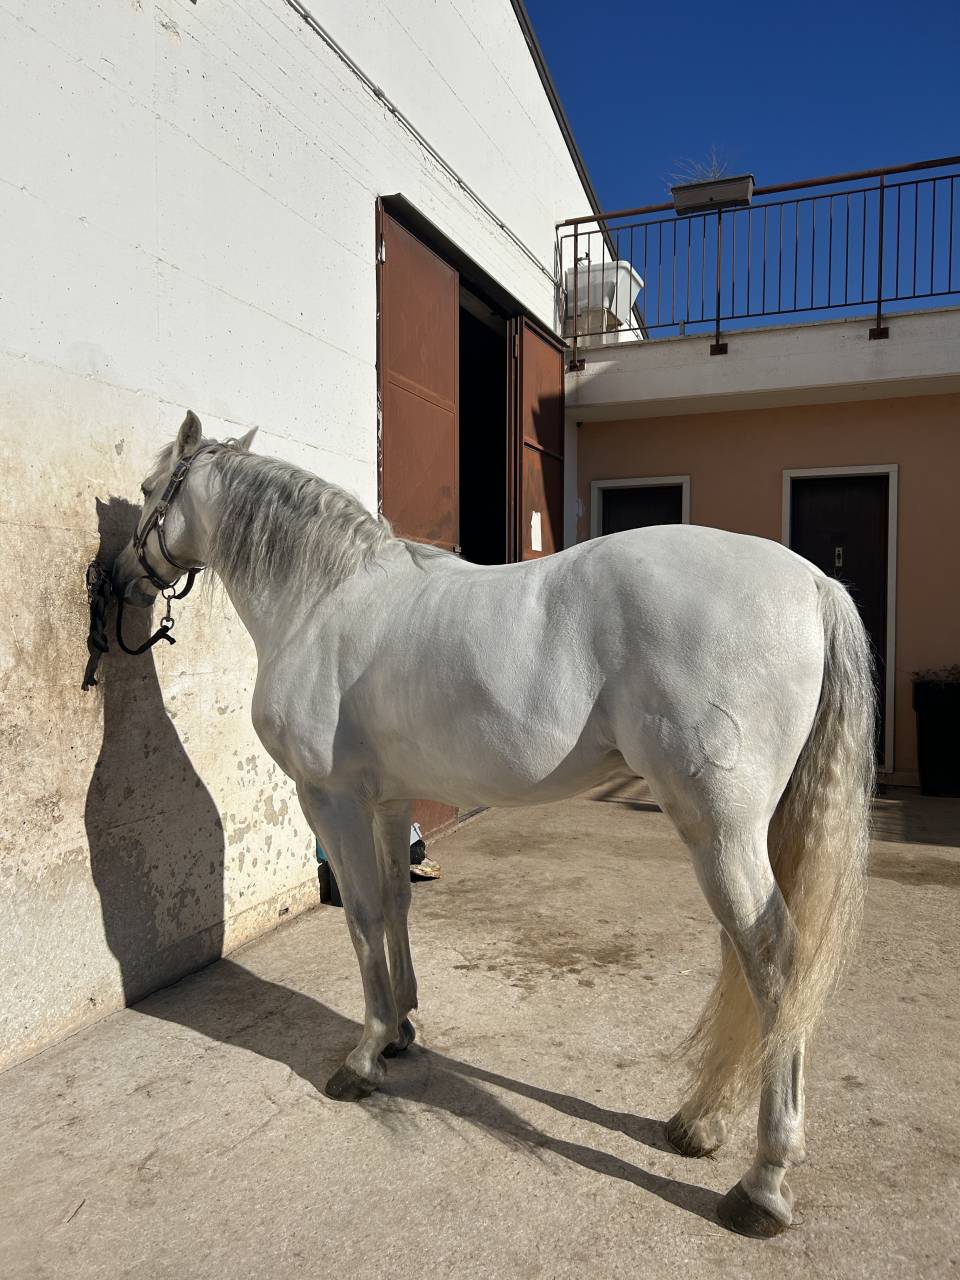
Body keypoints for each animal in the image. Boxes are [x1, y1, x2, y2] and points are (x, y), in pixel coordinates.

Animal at [110, 411, 874, 1238]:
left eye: (150, 491)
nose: (120, 576)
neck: (320, 601)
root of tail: (813, 584)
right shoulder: (390, 802)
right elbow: (397, 904)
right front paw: (403, 1031)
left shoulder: (332, 799)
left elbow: (362, 915)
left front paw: (364, 1056)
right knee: (750, 966)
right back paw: (699, 1123)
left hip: (722, 832)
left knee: (775, 963)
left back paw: (763, 1184)